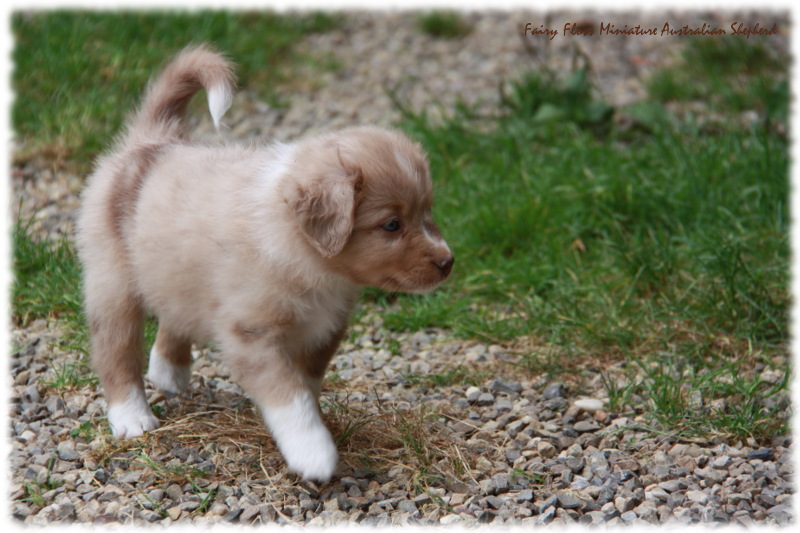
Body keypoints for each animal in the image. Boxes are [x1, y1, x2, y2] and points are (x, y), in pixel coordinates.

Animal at [77, 43, 454, 480]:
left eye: (427, 212)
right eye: (391, 224)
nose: (448, 262)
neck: (308, 256)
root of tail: (155, 140)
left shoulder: (325, 328)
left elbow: (306, 384)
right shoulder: (252, 334)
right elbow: (290, 396)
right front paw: (314, 454)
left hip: (173, 272)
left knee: (173, 316)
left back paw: (169, 373)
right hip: (113, 281)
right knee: (115, 349)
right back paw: (132, 417)